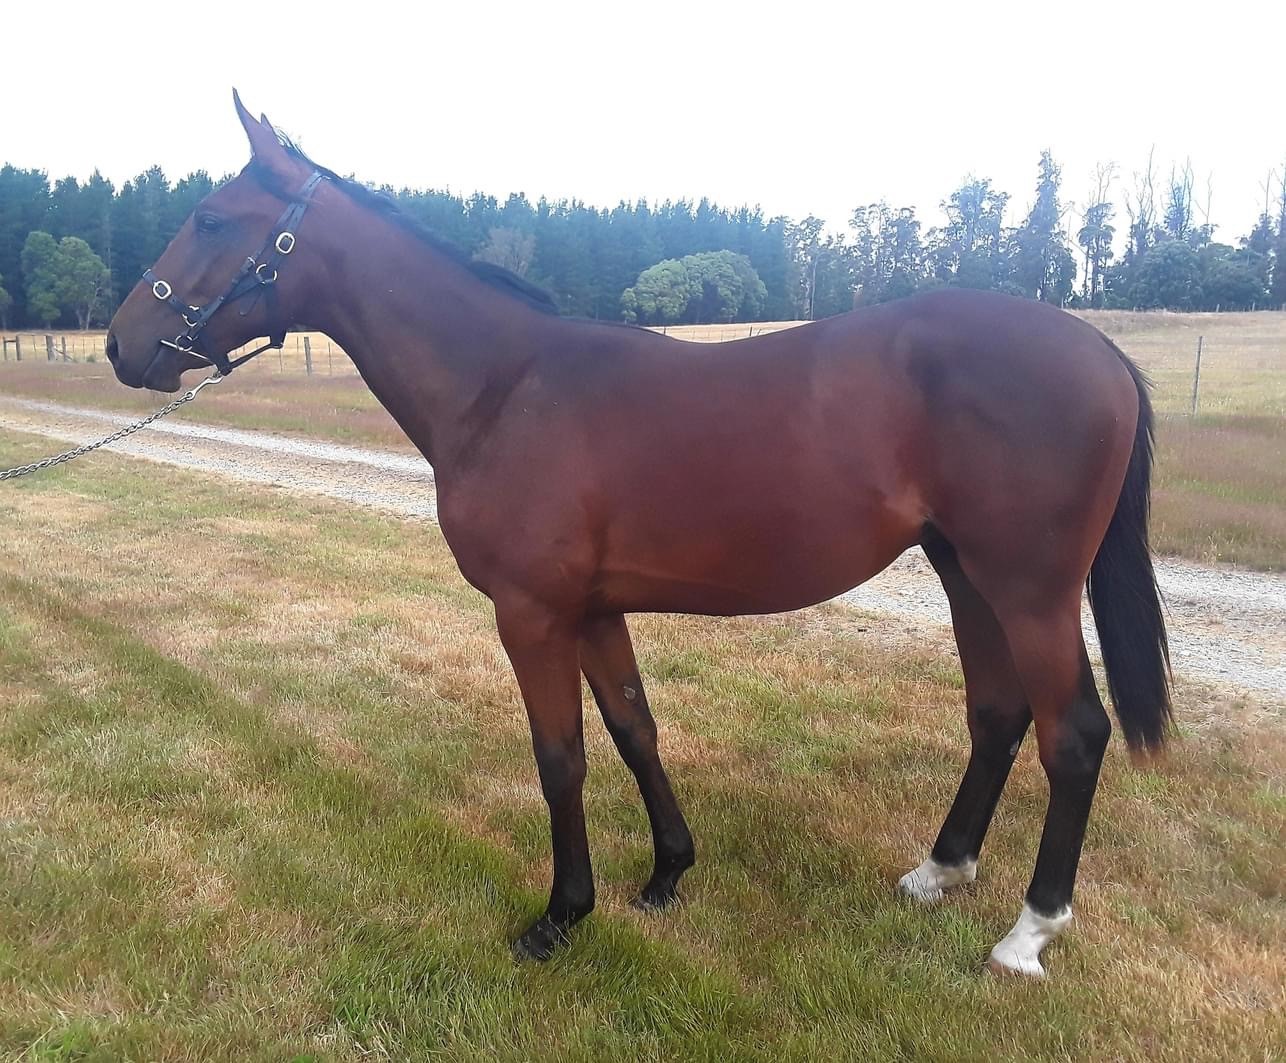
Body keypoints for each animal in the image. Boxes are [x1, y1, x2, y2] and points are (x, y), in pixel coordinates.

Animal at [104, 90, 1170, 977]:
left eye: (210, 218)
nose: (120, 345)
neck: (505, 387)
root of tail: (1101, 351)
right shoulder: (594, 608)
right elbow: (632, 727)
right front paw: (665, 874)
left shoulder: (531, 613)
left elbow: (561, 756)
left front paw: (558, 916)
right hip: (964, 572)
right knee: (996, 712)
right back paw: (938, 872)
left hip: (1028, 586)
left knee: (1072, 734)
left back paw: (1028, 932)